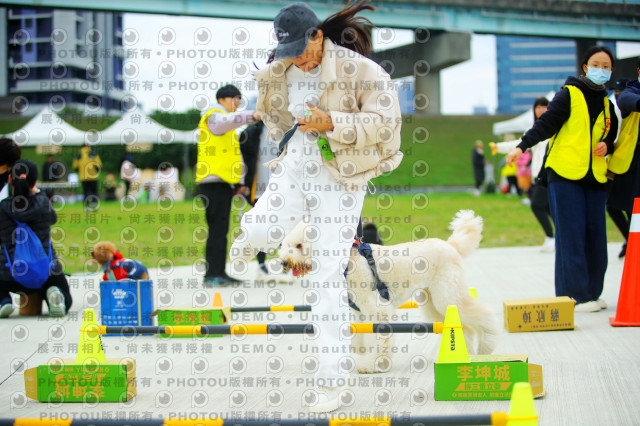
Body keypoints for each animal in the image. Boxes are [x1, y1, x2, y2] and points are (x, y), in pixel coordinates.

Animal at [279, 210, 500, 373]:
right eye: (285, 244)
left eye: (299, 245)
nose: (283, 262)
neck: (347, 261)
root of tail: (450, 244)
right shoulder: (358, 312)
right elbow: (359, 336)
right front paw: (359, 353)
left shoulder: (379, 310)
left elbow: (381, 341)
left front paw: (374, 365)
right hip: (432, 302)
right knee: (466, 326)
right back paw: (467, 352)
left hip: (446, 295)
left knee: (483, 315)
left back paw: (486, 346)